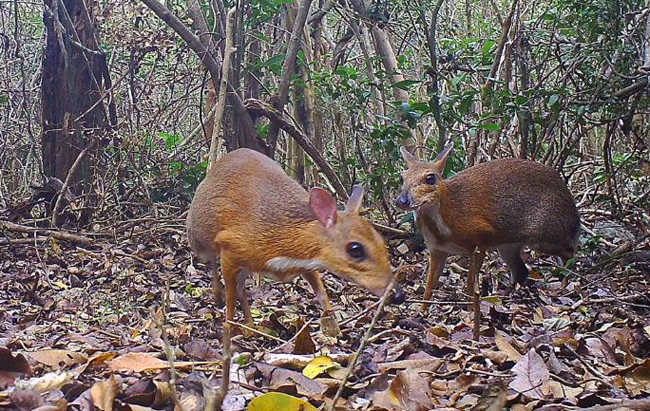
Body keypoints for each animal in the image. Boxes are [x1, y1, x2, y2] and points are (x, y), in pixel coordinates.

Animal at [185, 148, 402, 334]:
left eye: (380, 240)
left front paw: (335, 330)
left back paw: (251, 326)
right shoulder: (229, 246)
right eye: (355, 249)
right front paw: (229, 330)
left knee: (240, 287)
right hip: (199, 239)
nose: (398, 294)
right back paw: (218, 298)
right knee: (214, 265)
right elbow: (230, 297)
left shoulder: (307, 263)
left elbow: (322, 293)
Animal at [394, 143, 576, 308]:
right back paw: (503, 298)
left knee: (570, 253)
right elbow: (429, 287)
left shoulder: (480, 239)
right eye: (402, 178)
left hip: (546, 235)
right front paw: (422, 311)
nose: (402, 201)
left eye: (430, 178)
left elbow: (470, 283)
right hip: (508, 245)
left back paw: (565, 286)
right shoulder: (437, 250)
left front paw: (470, 309)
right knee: (521, 271)